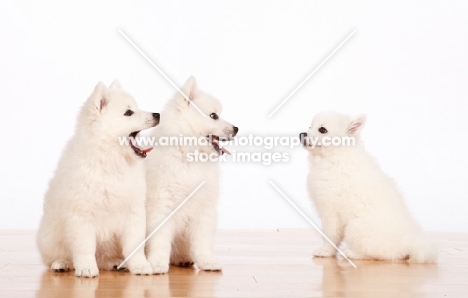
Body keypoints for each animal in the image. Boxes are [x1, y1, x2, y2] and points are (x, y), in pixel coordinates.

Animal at [35, 79, 159, 278]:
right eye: (128, 112)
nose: (157, 114)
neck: (109, 159)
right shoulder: (81, 214)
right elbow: (84, 247)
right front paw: (86, 268)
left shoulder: (133, 212)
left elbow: (135, 246)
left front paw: (140, 266)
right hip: (49, 237)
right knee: (56, 256)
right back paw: (62, 263)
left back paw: (116, 263)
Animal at [145, 76, 238, 272]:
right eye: (214, 116)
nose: (236, 128)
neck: (189, 157)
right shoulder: (161, 206)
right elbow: (160, 240)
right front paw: (157, 263)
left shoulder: (204, 208)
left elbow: (203, 240)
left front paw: (207, 261)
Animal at [302, 112, 436, 264]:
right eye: (310, 126)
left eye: (322, 130)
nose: (302, 134)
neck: (336, 157)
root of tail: (411, 243)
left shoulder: (330, 212)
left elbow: (330, 236)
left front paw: (325, 252)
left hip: (355, 227)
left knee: (381, 254)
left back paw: (353, 253)